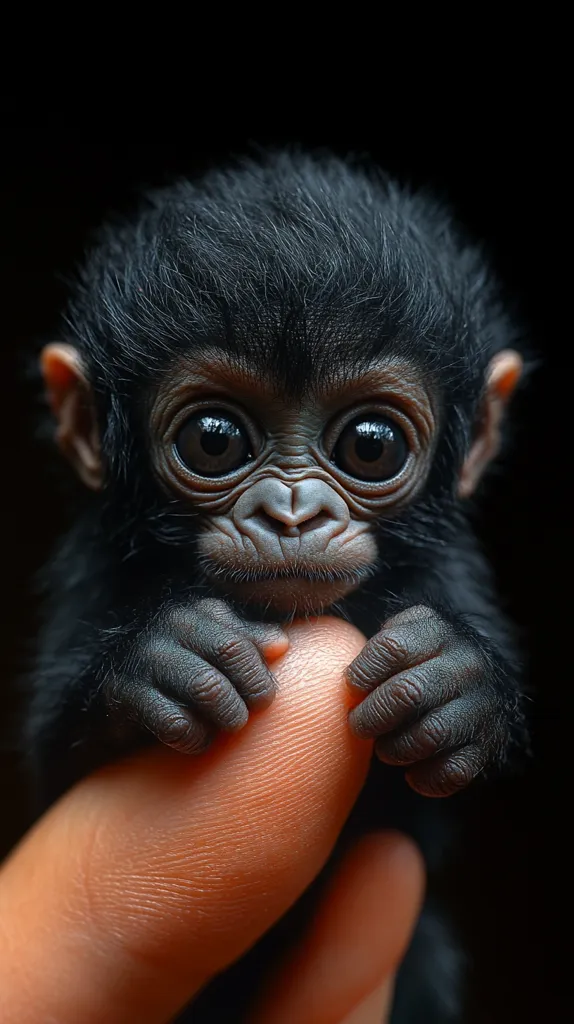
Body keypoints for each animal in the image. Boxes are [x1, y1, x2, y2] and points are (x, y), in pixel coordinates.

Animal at [25, 151, 528, 1023]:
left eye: (370, 445)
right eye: (214, 439)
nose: (292, 513)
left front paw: (453, 682)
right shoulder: (89, 561)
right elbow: (51, 762)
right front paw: (162, 661)